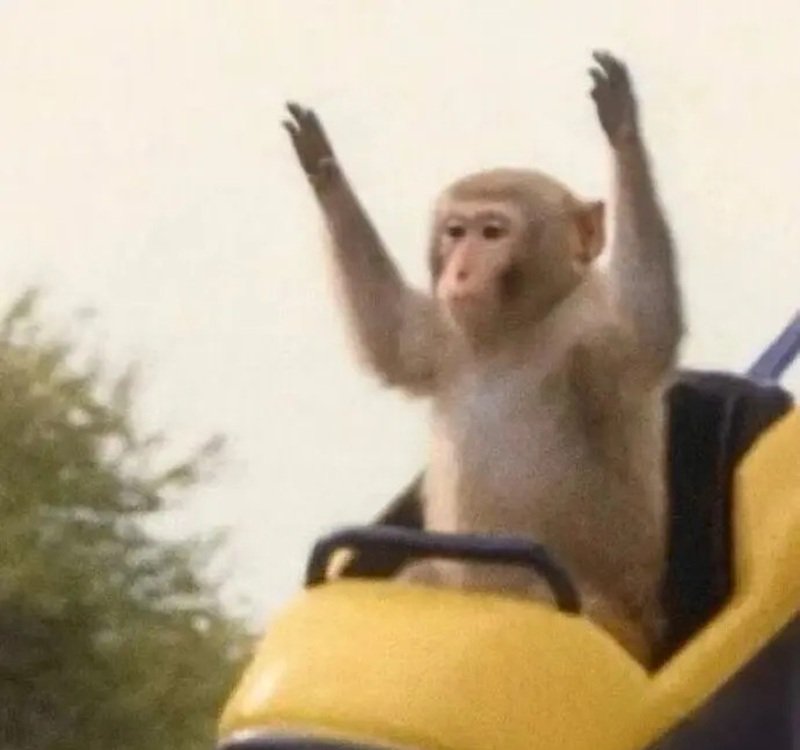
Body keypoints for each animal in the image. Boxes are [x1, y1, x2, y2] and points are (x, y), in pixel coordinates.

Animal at [282, 51, 683, 666]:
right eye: (456, 232)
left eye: (493, 232)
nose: (461, 270)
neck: (517, 331)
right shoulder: (449, 338)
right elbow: (393, 335)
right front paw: (324, 169)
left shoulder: (591, 341)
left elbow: (648, 329)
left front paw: (624, 133)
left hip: (615, 628)